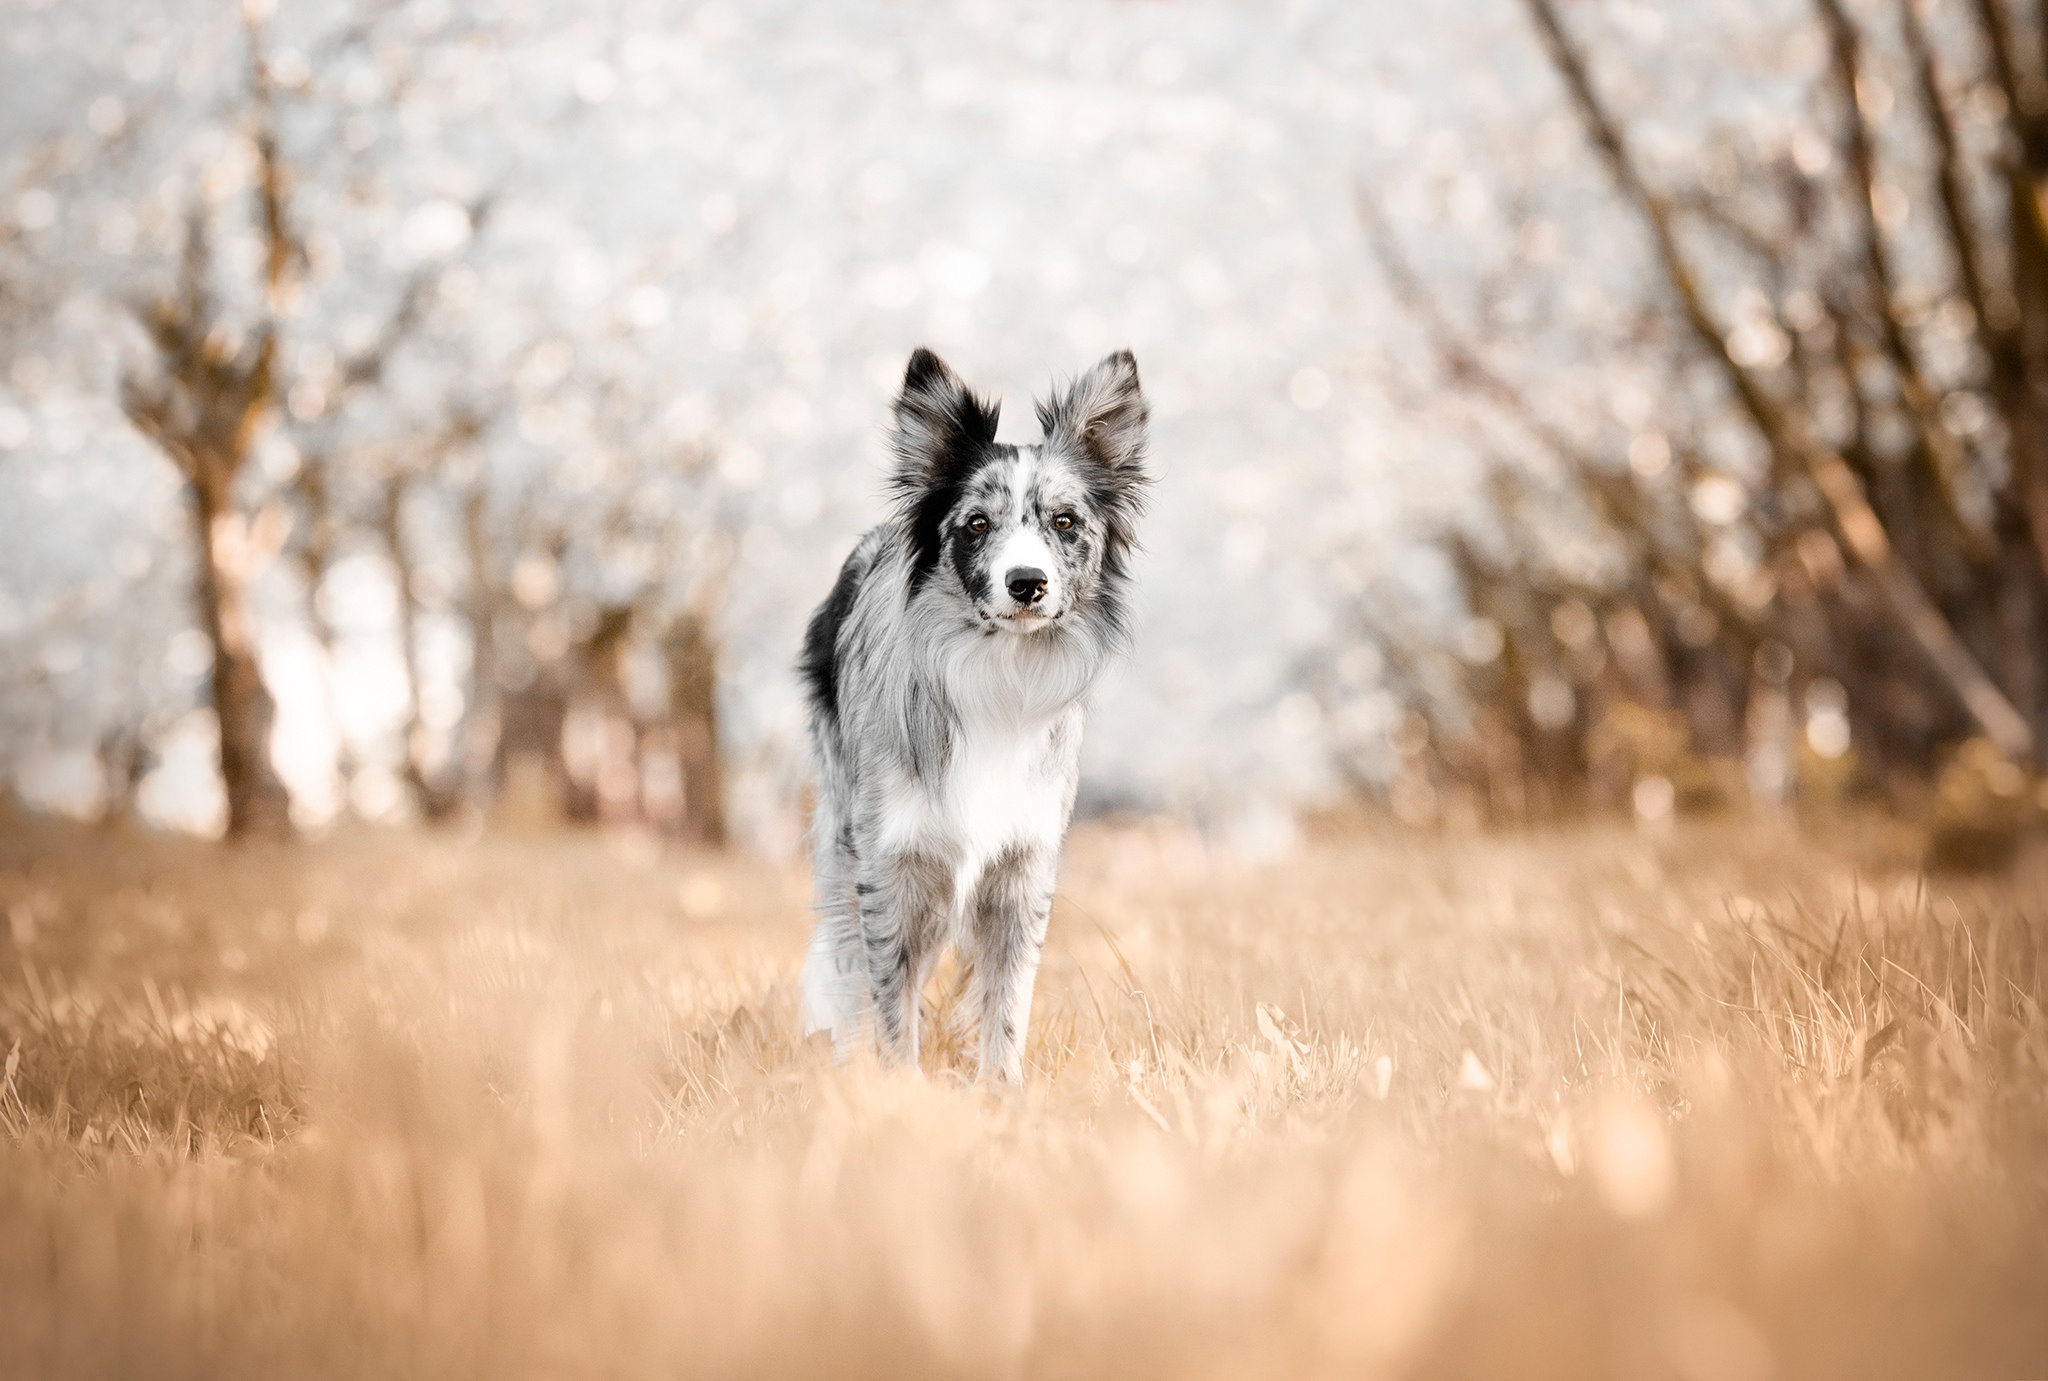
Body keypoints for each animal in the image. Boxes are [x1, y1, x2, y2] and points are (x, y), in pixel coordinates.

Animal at [798, 344, 1155, 1073]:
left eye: (1065, 522)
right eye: (977, 524)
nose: (1028, 583)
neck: (999, 674)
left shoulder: (1022, 867)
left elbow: (1006, 1007)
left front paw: (1000, 1093)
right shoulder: (890, 862)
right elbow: (890, 1004)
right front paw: (898, 1090)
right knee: (849, 968)